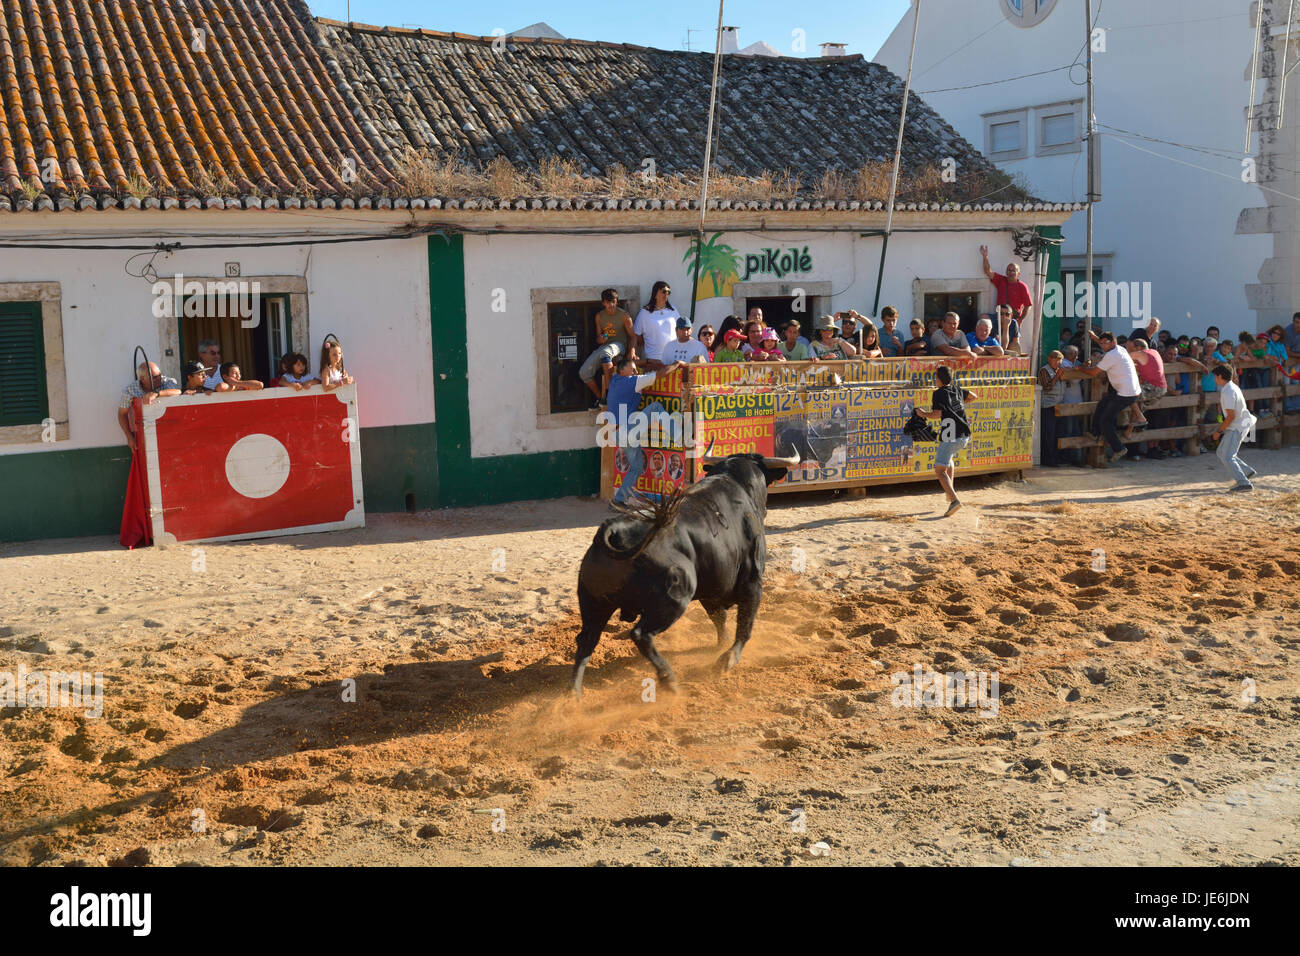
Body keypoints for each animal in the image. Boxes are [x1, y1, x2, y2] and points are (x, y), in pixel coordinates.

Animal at [574, 452, 795, 697]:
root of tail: (618, 530)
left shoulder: (710, 588)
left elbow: (719, 618)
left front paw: (722, 644)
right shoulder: (752, 581)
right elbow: (745, 625)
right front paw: (727, 659)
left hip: (594, 603)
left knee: (586, 640)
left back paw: (574, 694)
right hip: (674, 598)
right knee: (641, 634)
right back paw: (669, 680)